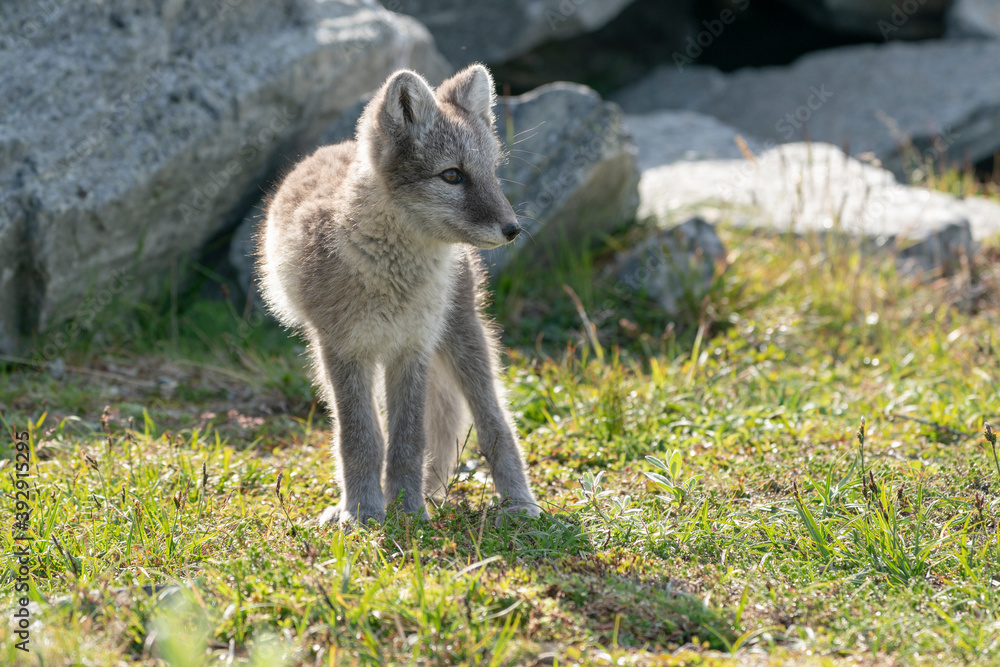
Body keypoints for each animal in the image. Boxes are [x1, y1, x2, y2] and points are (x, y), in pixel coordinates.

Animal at [257, 64, 540, 526]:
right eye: (452, 175)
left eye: (493, 172)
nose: (513, 229)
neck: (391, 274)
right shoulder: (344, 350)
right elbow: (361, 439)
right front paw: (362, 511)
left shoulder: (412, 349)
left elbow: (407, 440)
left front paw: (407, 511)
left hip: (464, 340)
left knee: (493, 421)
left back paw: (518, 503)